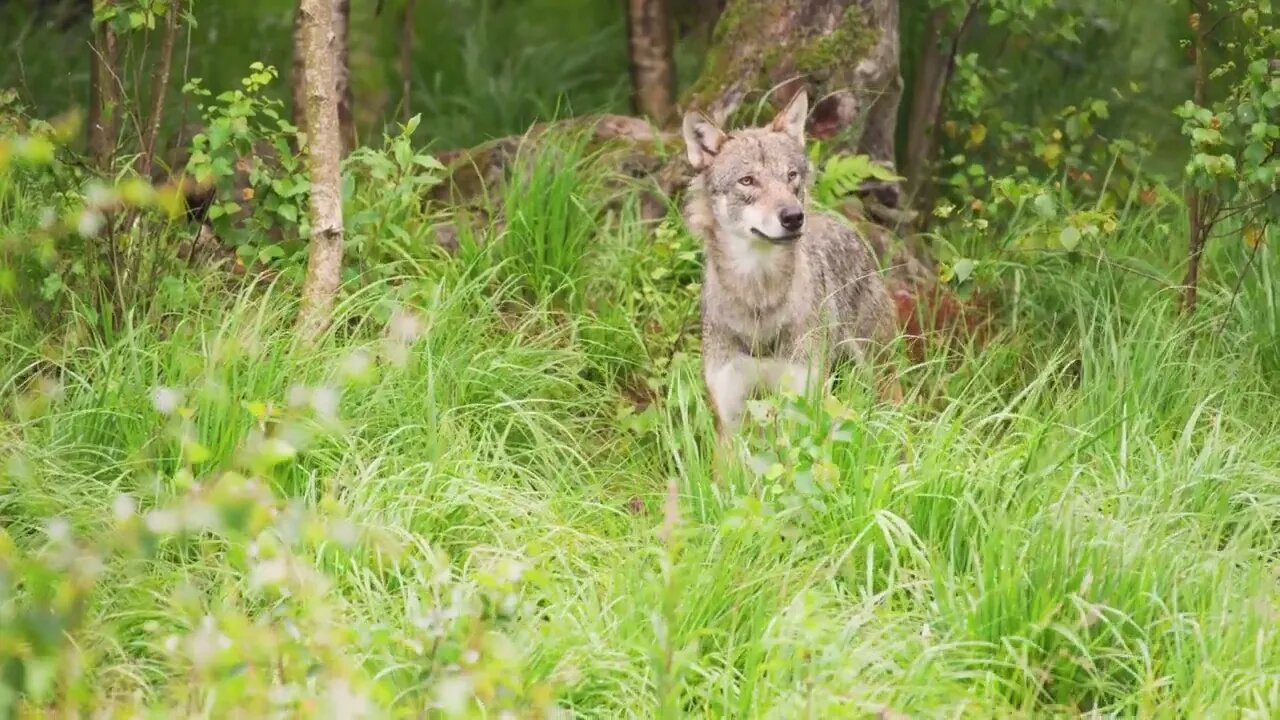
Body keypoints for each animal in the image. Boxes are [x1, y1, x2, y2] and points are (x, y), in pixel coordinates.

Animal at [680, 89, 901, 438]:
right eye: (747, 181)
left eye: (791, 176)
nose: (794, 216)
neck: (758, 301)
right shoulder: (730, 420)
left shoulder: (802, 408)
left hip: (879, 374)